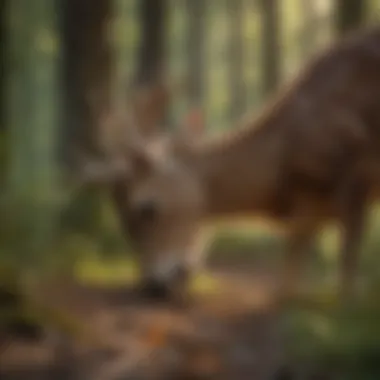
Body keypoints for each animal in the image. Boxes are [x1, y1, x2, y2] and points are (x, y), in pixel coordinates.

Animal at [80, 26, 380, 302]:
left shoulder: (356, 174)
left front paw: (348, 304)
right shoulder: (310, 207)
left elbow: (346, 264)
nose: (154, 286)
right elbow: (289, 273)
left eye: (147, 208)